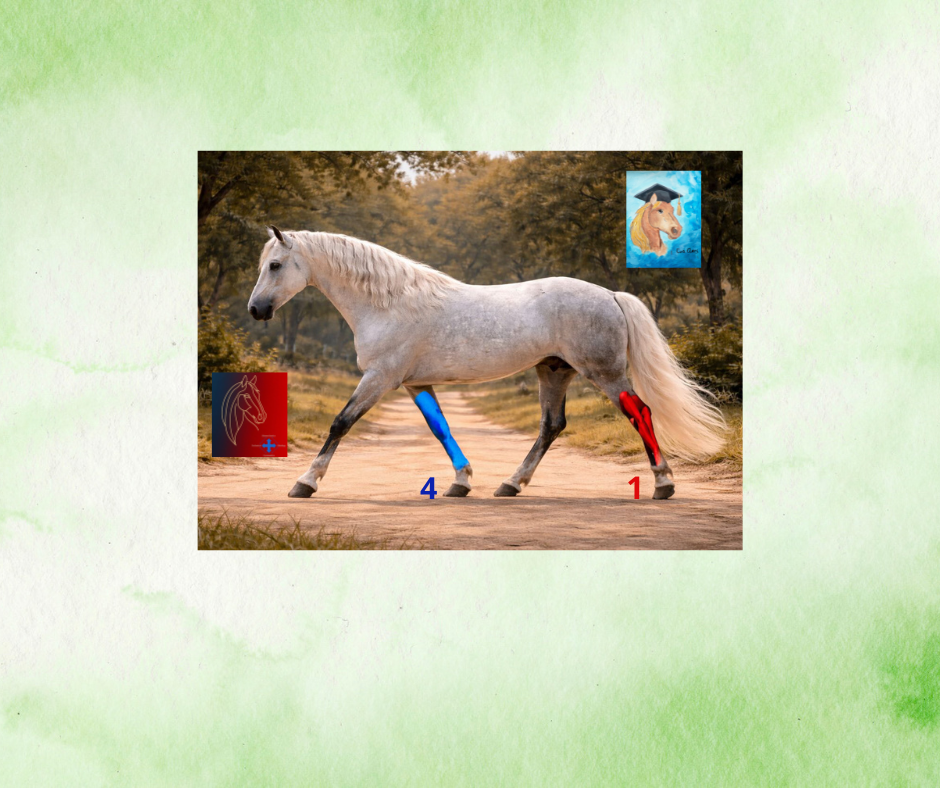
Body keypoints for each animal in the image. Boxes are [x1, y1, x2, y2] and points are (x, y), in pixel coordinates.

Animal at [248, 227, 725, 500]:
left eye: (276, 265)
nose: (256, 310)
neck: (388, 303)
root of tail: (609, 294)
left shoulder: (380, 377)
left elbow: (340, 423)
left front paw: (305, 483)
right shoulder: (414, 383)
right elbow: (440, 429)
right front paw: (461, 482)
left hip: (604, 373)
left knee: (639, 411)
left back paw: (664, 484)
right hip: (554, 371)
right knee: (552, 426)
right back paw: (510, 484)